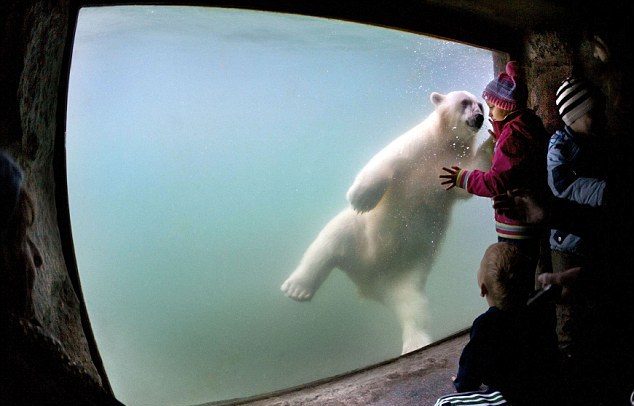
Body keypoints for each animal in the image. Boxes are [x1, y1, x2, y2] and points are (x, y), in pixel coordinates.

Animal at [278, 90, 486, 354]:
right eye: (464, 102)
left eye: (481, 105)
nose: (480, 117)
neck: (443, 144)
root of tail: (368, 283)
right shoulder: (417, 146)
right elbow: (385, 161)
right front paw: (361, 199)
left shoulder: (454, 159)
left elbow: (466, 183)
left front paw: (492, 143)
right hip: (357, 234)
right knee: (328, 241)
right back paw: (297, 288)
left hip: (407, 272)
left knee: (413, 305)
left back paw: (415, 343)